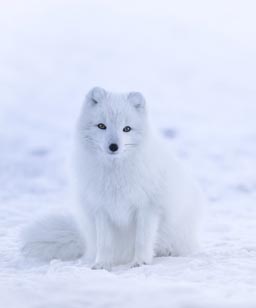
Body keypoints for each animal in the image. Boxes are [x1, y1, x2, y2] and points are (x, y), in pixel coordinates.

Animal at [21, 87, 202, 270]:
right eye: (102, 126)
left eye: (126, 129)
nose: (114, 146)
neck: (115, 174)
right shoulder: (101, 209)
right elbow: (105, 243)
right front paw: (102, 264)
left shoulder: (147, 207)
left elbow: (142, 240)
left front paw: (140, 262)